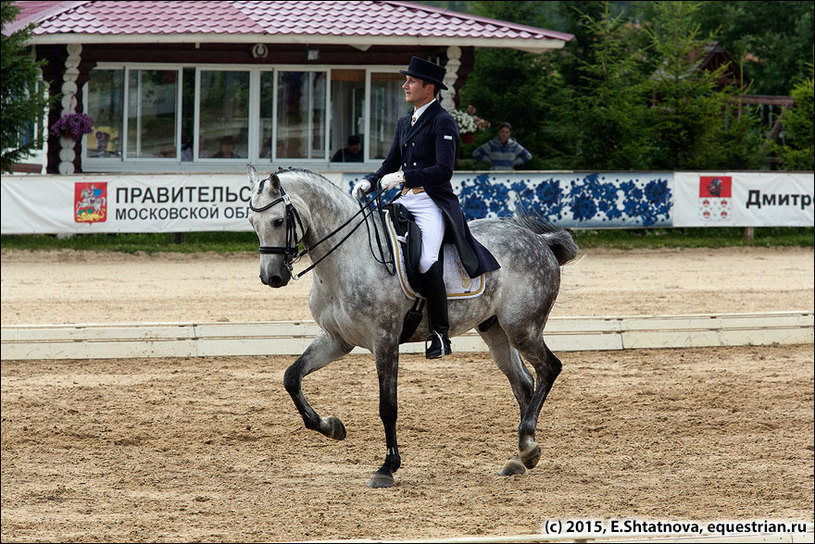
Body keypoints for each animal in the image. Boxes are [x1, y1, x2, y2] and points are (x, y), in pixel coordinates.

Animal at [245, 164, 576, 486]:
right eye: (252, 223)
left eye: (278, 221)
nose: (271, 277)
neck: (347, 257)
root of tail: (539, 240)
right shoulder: (336, 339)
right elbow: (292, 377)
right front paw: (332, 427)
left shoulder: (385, 340)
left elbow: (387, 407)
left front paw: (387, 467)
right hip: (496, 331)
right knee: (523, 382)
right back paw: (522, 454)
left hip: (522, 328)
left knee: (549, 369)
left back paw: (527, 445)